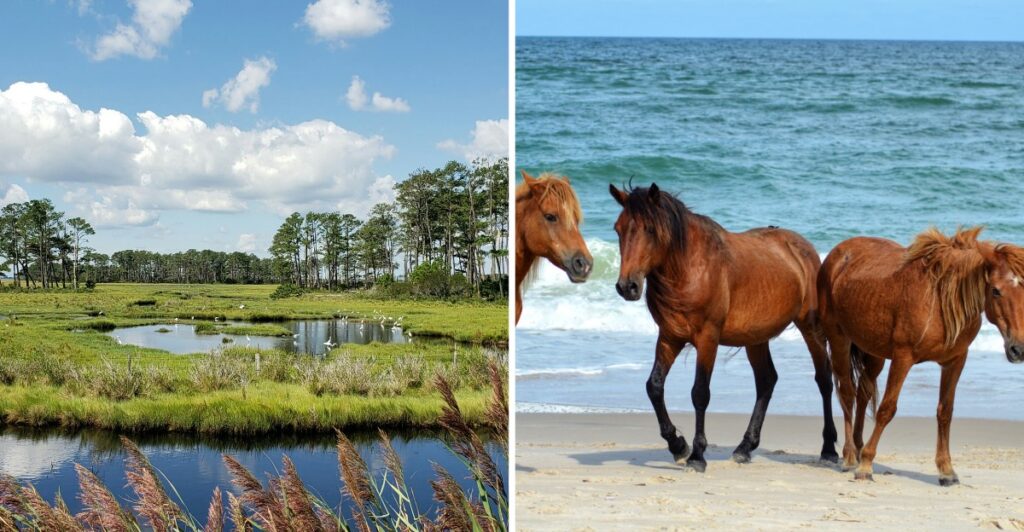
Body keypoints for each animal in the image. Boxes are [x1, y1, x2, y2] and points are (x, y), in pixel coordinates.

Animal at [609, 182, 838, 471]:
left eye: (650, 229)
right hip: (755, 338)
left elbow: (700, 393)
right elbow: (655, 386)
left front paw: (697, 455)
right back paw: (744, 448)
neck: (689, 268)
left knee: (824, 379)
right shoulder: (670, 337)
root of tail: (804, 249)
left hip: (811, 328)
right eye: (618, 228)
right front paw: (678, 445)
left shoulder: (708, 338)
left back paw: (829, 449)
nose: (627, 286)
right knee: (766, 381)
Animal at [818, 226, 1024, 485]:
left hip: (874, 351)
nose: (1018, 349)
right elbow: (887, 409)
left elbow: (945, 411)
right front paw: (866, 465)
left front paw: (946, 470)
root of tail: (836, 254)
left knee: (863, 391)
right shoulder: (903, 358)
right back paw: (849, 456)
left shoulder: (955, 361)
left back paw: (857, 447)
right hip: (839, 340)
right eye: (996, 290)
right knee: (847, 393)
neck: (941, 301)